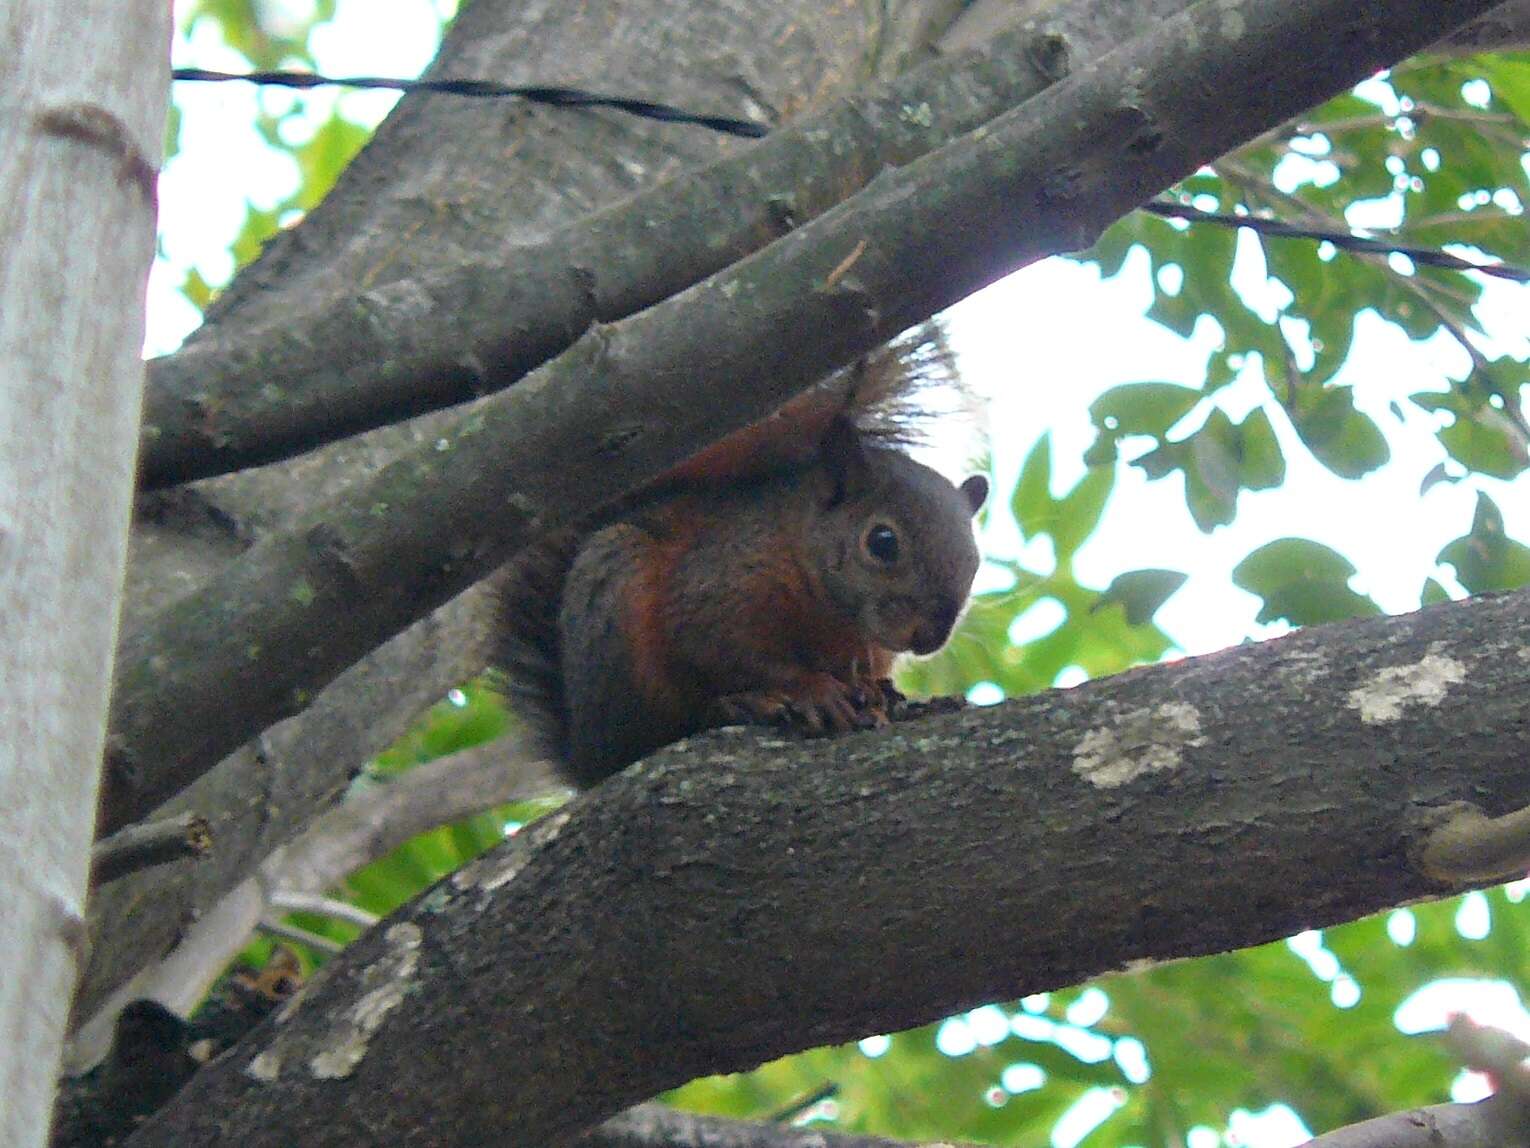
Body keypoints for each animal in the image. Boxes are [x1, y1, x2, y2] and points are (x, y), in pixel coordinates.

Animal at [492, 326, 991, 789]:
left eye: (974, 562)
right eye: (882, 542)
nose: (930, 636)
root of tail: (585, 758)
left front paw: (872, 692)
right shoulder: (718, 582)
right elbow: (720, 647)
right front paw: (812, 689)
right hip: (615, 601)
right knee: (652, 733)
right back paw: (736, 705)